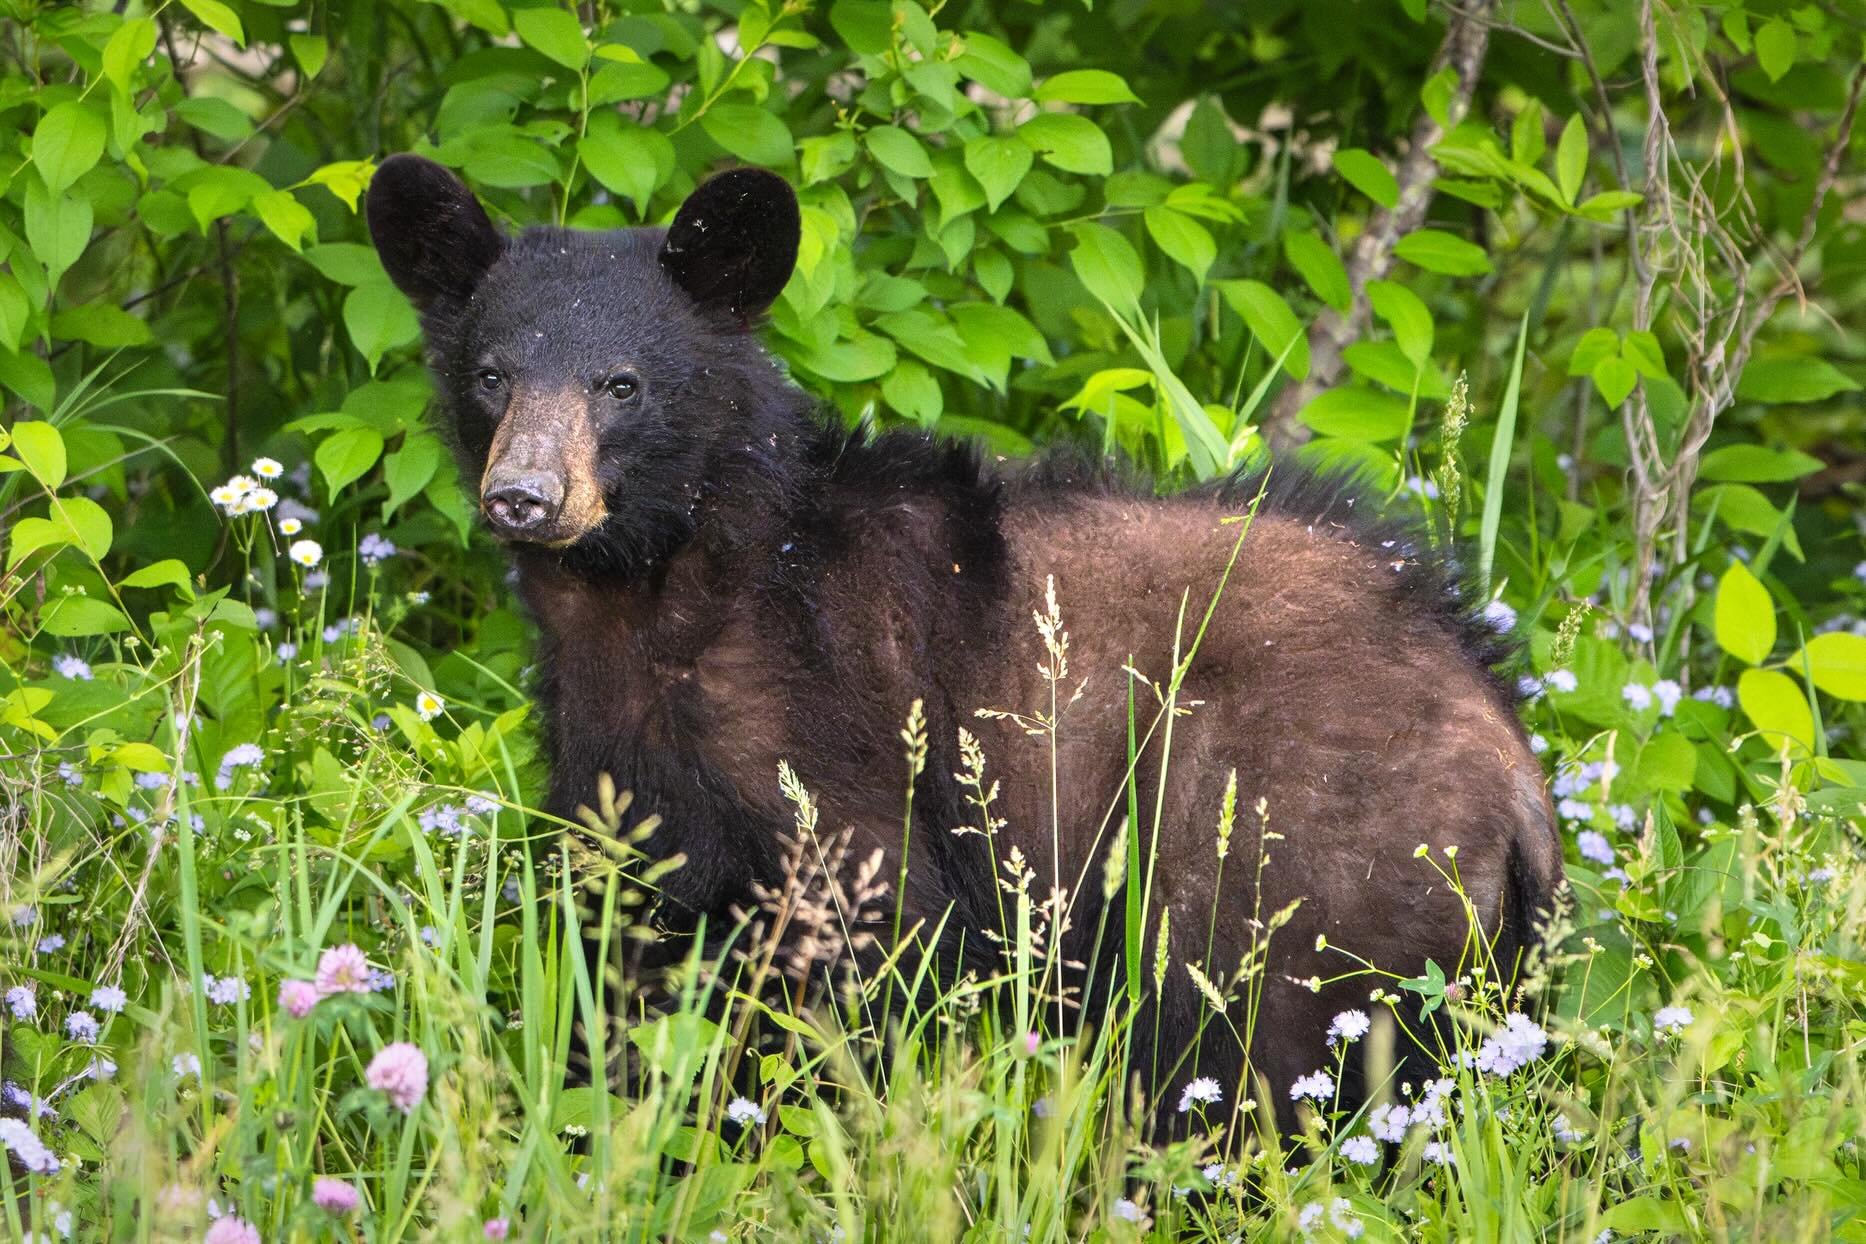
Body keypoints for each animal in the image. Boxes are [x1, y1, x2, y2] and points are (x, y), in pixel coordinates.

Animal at [366, 155, 1563, 1133]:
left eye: (622, 381)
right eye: (491, 373)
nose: (525, 495)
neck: (656, 600)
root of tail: (1516, 767)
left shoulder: (836, 747)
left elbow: (869, 960)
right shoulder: (625, 780)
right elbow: (628, 968)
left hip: (1297, 865)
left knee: (1256, 1058)